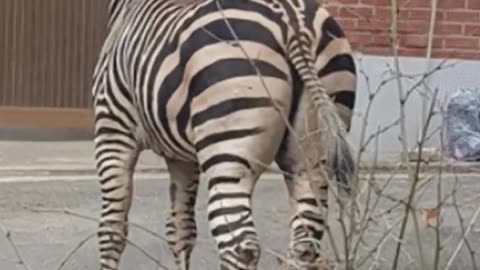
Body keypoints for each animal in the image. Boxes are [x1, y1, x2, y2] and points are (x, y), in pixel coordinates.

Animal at [93, 0, 356, 268]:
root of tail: (293, 21)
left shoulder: (113, 130)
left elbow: (112, 229)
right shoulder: (181, 158)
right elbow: (181, 230)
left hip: (230, 151)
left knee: (240, 246)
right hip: (310, 157)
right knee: (305, 241)